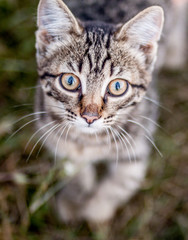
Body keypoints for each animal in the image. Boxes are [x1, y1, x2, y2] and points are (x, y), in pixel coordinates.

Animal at [34, 0, 187, 223]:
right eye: (70, 81)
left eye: (117, 87)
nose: (90, 117)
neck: (89, 141)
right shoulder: (56, 137)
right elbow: (73, 166)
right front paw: (74, 199)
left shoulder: (137, 145)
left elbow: (121, 183)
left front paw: (96, 209)